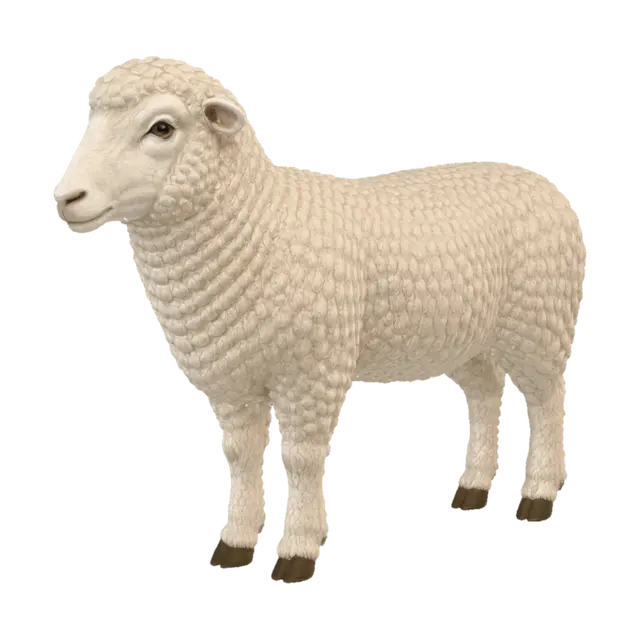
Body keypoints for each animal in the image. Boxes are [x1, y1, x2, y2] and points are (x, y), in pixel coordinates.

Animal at [53, 56, 588, 583]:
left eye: (162, 128)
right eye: (89, 118)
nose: (67, 198)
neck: (256, 219)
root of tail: (538, 179)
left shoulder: (311, 368)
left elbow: (302, 457)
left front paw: (298, 552)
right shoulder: (231, 375)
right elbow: (243, 454)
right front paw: (235, 544)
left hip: (539, 321)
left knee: (545, 401)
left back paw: (539, 495)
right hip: (468, 335)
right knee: (484, 392)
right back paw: (473, 487)